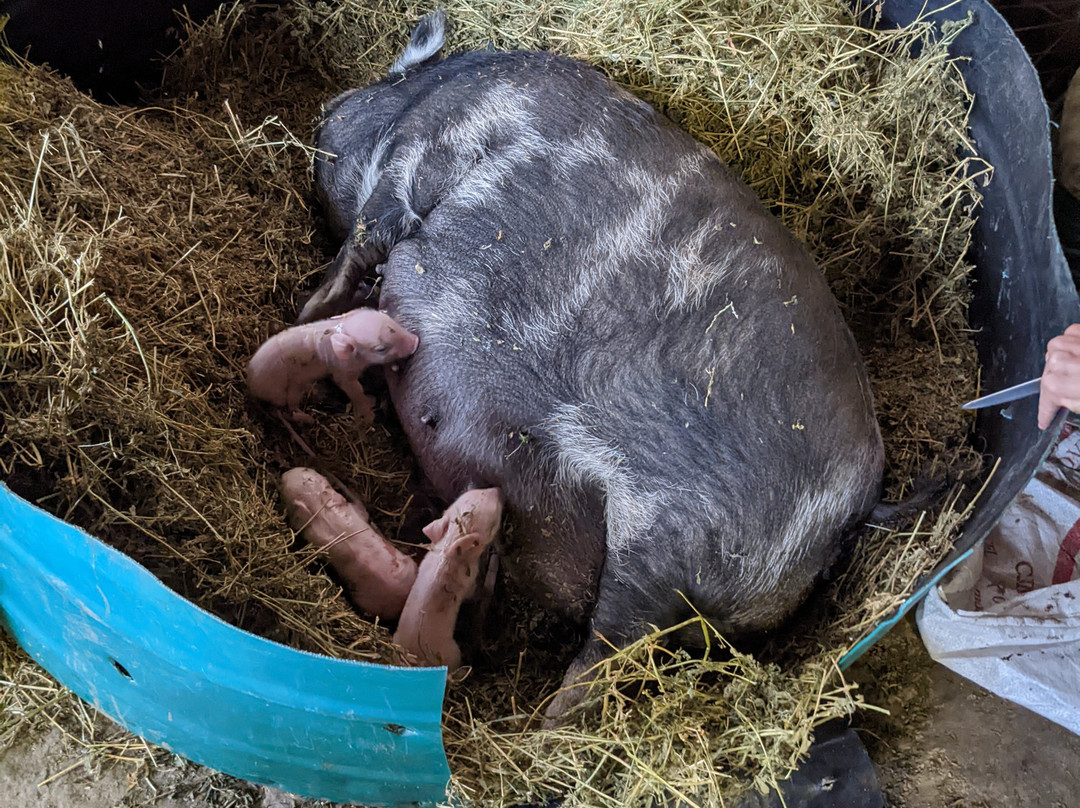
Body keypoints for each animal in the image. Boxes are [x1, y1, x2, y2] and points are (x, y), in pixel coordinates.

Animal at [247, 308, 418, 424]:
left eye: (389, 319)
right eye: (381, 348)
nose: (416, 341)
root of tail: (251, 385)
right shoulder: (342, 372)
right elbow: (354, 389)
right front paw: (370, 412)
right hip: (281, 392)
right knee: (288, 409)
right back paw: (308, 419)